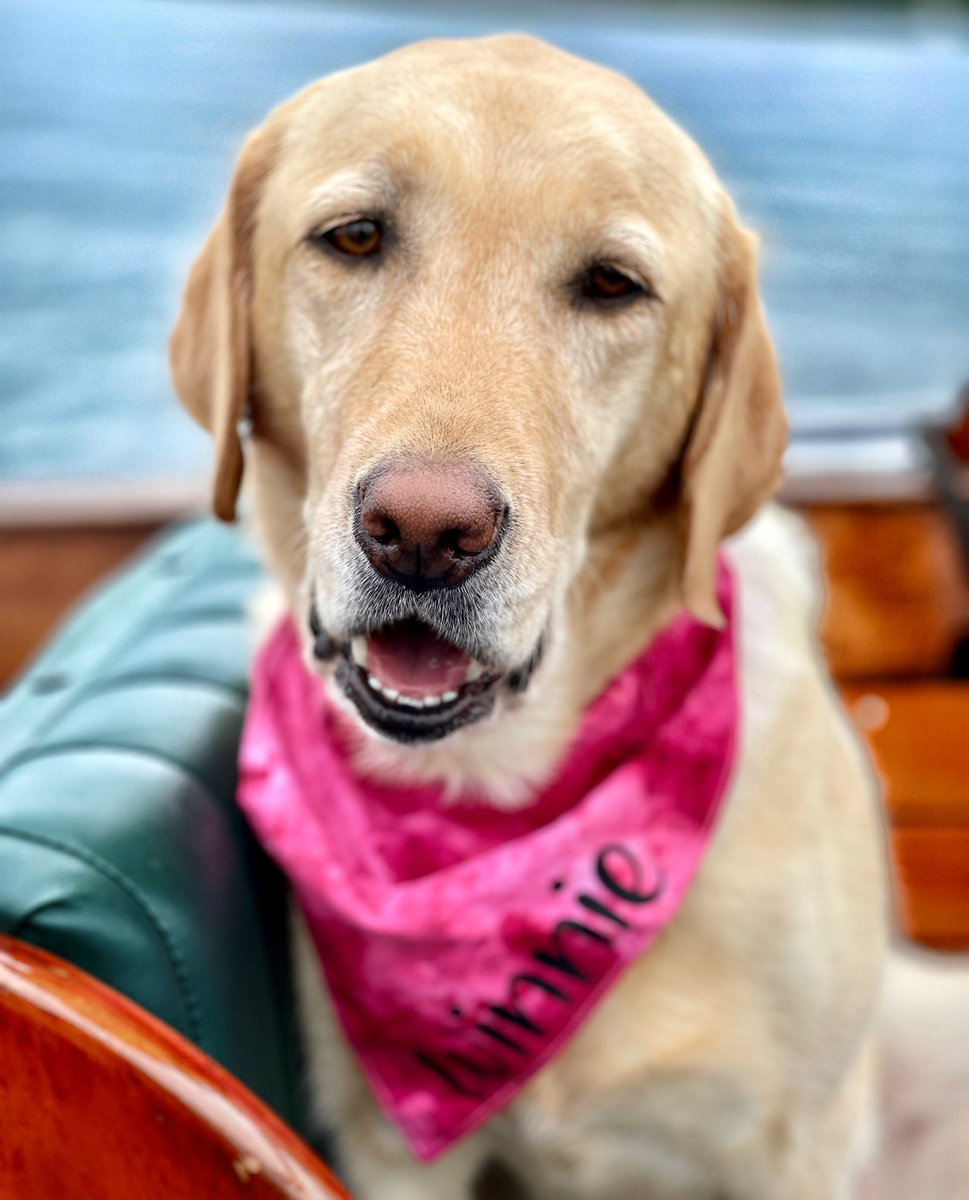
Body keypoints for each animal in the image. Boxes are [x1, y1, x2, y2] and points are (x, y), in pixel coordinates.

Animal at [172, 35, 887, 1200]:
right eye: (355, 236)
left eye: (611, 285)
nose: (423, 532)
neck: (502, 798)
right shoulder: (389, 1151)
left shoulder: (797, 1143)